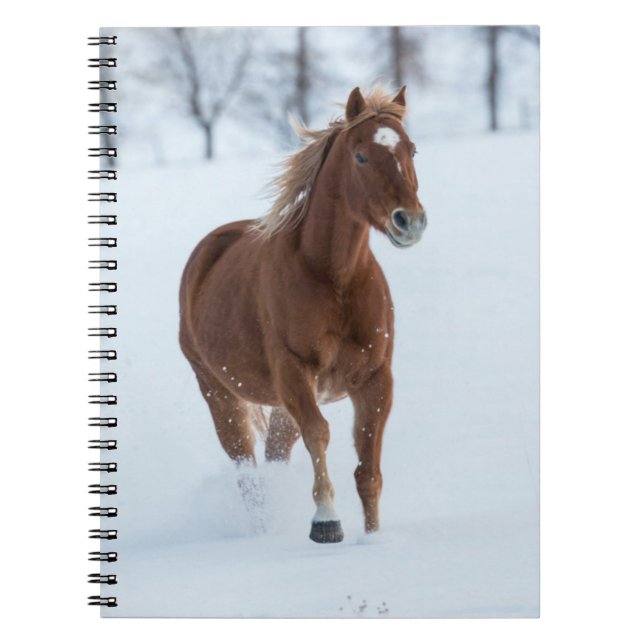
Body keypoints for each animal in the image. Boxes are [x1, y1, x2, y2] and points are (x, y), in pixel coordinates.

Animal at [179, 85, 426, 543]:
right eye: (361, 157)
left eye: (411, 150)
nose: (410, 222)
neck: (334, 277)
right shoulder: (295, 372)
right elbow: (320, 435)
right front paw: (326, 523)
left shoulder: (375, 379)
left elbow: (368, 469)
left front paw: (373, 538)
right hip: (220, 394)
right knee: (247, 470)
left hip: (278, 405)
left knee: (274, 455)